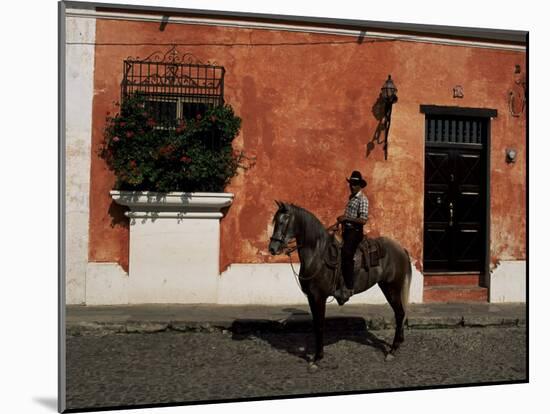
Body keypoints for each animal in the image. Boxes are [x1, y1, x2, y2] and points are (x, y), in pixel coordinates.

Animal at [270, 202, 412, 368]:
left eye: (283, 222)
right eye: (275, 221)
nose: (272, 248)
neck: (318, 255)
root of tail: (401, 249)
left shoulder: (319, 297)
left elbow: (320, 325)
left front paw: (317, 358)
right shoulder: (311, 297)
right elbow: (315, 325)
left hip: (392, 287)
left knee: (400, 313)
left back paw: (392, 350)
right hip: (386, 287)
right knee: (399, 313)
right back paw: (398, 343)